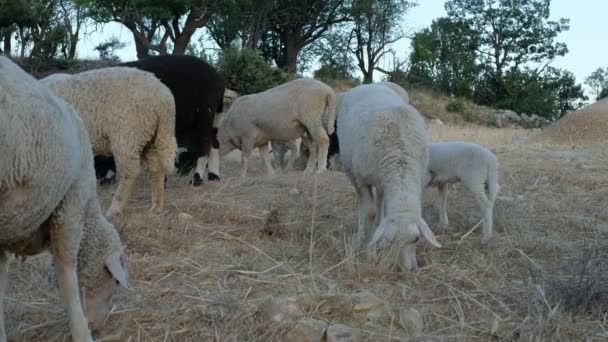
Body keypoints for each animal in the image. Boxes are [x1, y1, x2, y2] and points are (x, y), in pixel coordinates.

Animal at [41, 67, 176, 218]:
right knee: (156, 169)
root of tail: (164, 98)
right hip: (152, 136)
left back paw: (115, 208)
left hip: (128, 134)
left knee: (129, 173)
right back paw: (156, 207)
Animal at [338, 83, 442, 270]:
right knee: (361, 201)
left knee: (380, 199)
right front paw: (370, 250)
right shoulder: (362, 179)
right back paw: (360, 235)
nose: (407, 270)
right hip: (351, 170)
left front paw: (378, 242)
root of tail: (368, 84)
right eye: (392, 240)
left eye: (416, 239)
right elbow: (370, 212)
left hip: (380, 180)